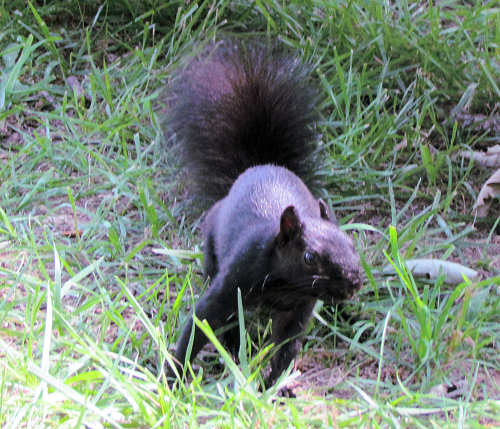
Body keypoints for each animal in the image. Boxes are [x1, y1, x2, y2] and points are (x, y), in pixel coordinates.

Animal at [166, 39, 362, 388]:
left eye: (352, 244)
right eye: (309, 257)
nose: (354, 282)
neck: (285, 287)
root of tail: (258, 166)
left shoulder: (298, 310)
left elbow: (286, 347)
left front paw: (271, 387)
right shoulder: (236, 278)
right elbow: (201, 323)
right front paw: (173, 376)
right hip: (212, 252)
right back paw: (232, 349)